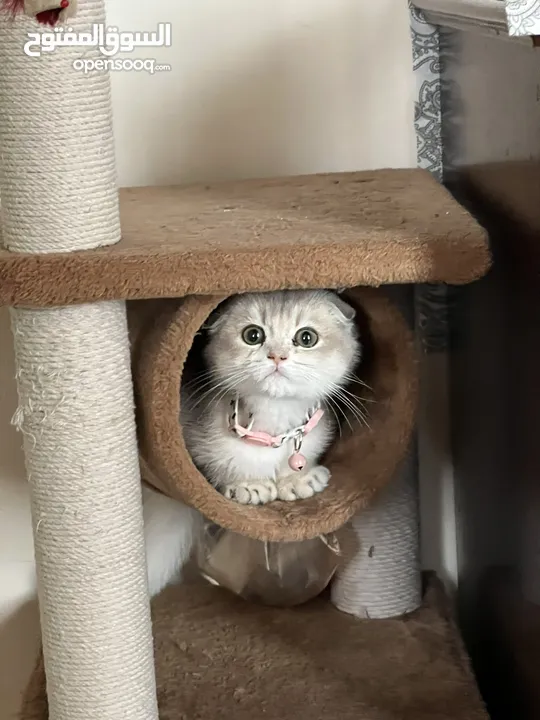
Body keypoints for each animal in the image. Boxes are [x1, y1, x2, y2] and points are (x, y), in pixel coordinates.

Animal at [143, 288, 362, 596]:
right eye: (253, 335)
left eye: (306, 338)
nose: (277, 356)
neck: (273, 430)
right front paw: (249, 485)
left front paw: (298, 479)